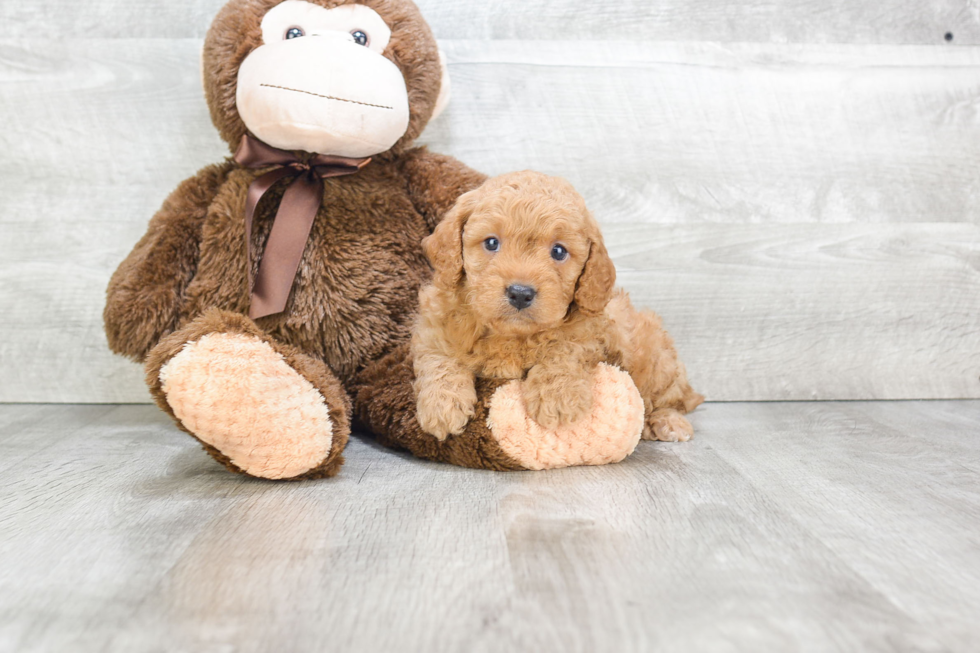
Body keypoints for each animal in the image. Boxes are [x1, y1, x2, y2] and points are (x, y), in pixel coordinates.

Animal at [414, 171, 704, 440]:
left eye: (559, 251)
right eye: (491, 242)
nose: (520, 293)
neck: (511, 334)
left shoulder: (589, 331)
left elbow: (565, 348)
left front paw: (557, 396)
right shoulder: (434, 324)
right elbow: (438, 357)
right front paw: (443, 405)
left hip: (656, 356)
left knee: (670, 398)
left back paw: (668, 422)